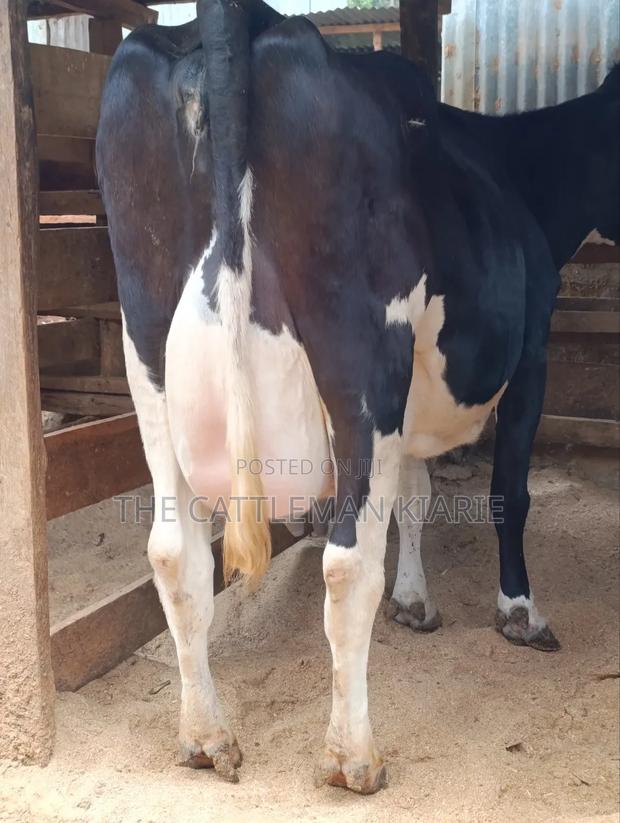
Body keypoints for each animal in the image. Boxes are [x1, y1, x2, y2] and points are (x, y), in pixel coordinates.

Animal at [96, 0, 619, 793]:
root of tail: (239, 21)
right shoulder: (531, 351)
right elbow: (508, 492)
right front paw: (519, 609)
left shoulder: (411, 405)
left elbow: (416, 496)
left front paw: (414, 600)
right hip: (361, 360)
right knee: (343, 563)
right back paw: (352, 757)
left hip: (146, 350)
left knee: (172, 552)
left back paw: (206, 737)